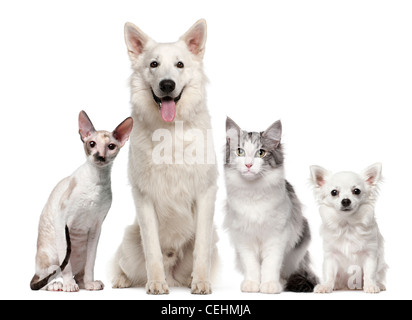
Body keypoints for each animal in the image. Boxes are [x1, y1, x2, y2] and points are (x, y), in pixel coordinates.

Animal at [109, 20, 219, 296]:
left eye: (180, 64)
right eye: (153, 64)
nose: (167, 85)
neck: (170, 131)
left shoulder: (205, 192)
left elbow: (201, 248)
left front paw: (201, 282)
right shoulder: (144, 196)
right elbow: (152, 250)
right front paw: (156, 283)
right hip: (129, 241)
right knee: (124, 264)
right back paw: (123, 280)